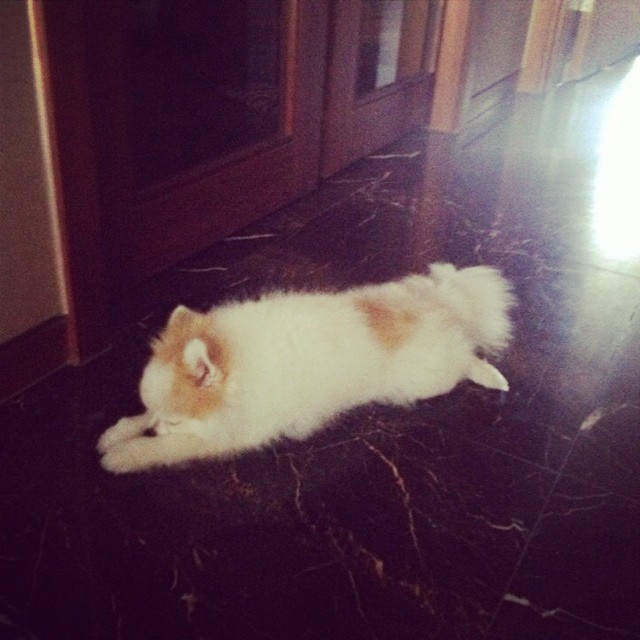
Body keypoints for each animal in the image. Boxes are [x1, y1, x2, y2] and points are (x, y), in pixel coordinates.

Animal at [97, 263, 515, 473]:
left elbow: (168, 448)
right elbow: (133, 420)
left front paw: (124, 455)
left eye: (175, 420)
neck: (238, 362)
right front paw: (120, 431)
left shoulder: (228, 435)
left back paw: (490, 375)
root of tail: (440, 304)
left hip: (428, 379)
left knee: (465, 357)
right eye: (153, 412)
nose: (154, 427)